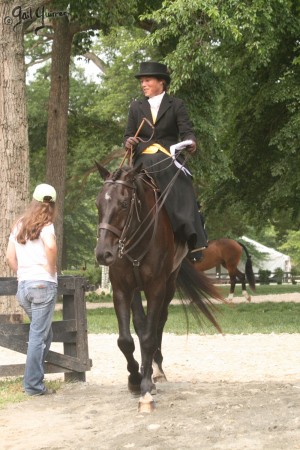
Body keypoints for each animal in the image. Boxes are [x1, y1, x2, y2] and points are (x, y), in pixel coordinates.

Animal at [95, 164, 224, 412]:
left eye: (124, 204)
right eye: (98, 204)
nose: (103, 253)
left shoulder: (156, 287)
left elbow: (148, 336)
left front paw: (146, 388)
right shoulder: (123, 289)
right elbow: (126, 339)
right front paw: (134, 379)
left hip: (170, 284)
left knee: (159, 323)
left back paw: (157, 370)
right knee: (142, 324)